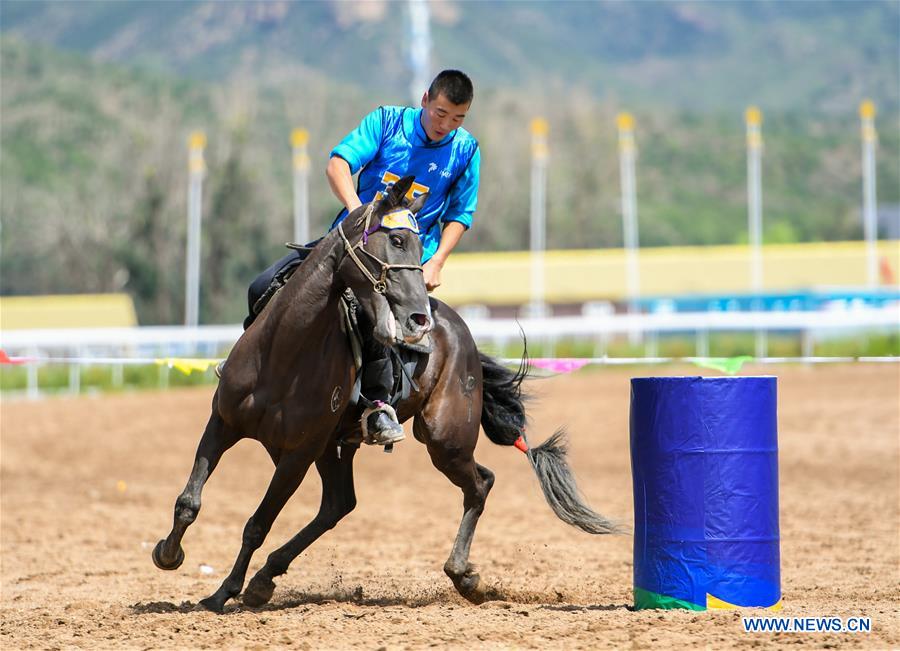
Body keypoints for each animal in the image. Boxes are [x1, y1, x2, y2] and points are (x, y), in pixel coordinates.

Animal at [155, 176, 620, 612]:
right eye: (396, 240)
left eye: (417, 244)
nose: (418, 316)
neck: (283, 352)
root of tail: (460, 331)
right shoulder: (224, 423)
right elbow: (189, 500)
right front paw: (169, 554)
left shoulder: (296, 455)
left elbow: (257, 523)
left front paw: (224, 591)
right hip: (337, 448)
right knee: (338, 505)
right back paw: (266, 578)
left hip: (442, 440)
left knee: (479, 484)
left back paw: (463, 576)